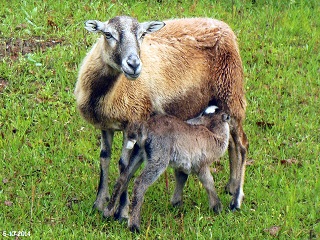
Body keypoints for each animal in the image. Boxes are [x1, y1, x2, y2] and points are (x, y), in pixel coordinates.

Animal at [74, 15, 248, 218]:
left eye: (142, 34)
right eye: (108, 34)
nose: (134, 65)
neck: (107, 93)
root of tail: (223, 25)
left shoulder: (134, 120)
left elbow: (124, 165)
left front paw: (122, 212)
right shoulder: (106, 126)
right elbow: (104, 158)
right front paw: (99, 203)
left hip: (231, 93)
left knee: (242, 144)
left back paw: (236, 200)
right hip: (219, 102)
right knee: (231, 142)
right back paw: (231, 186)